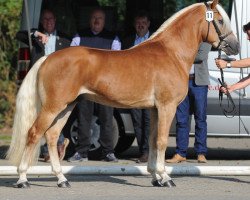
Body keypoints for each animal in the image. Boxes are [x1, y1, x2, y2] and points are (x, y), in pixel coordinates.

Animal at [6, 0, 239, 188]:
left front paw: (155, 177)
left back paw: (62, 179)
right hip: (53, 107)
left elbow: (152, 140)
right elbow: (162, 141)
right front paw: (165, 178)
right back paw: (23, 179)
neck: (171, 53)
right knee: (34, 133)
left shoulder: (155, 110)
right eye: (219, 20)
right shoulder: (167, 107)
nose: (235, 47)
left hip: (66, 107)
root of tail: (47, 58)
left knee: (53, 137)